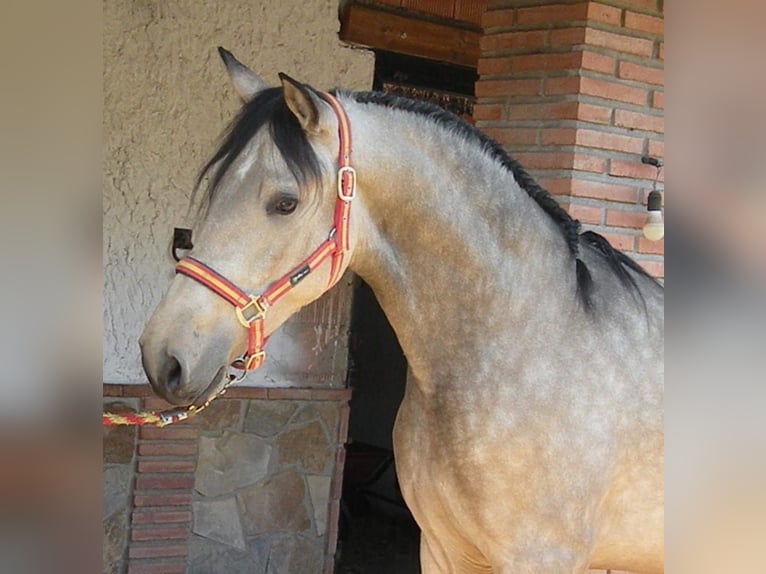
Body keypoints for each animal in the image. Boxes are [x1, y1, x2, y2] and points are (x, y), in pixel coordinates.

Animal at [140, 50, 664, 574]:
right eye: (214, 190)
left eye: (285, 203)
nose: (163, 356)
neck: (531, 345)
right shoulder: (441, 549)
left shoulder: (541, 557)